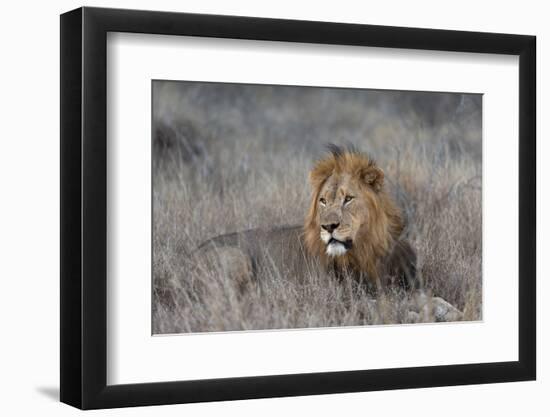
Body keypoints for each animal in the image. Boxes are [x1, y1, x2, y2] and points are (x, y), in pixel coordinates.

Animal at [194, 146, 418, 292]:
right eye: (323, 201)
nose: (328, 226)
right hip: (236, 257)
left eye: (348, 199)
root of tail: (190, 256)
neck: (364, 249)